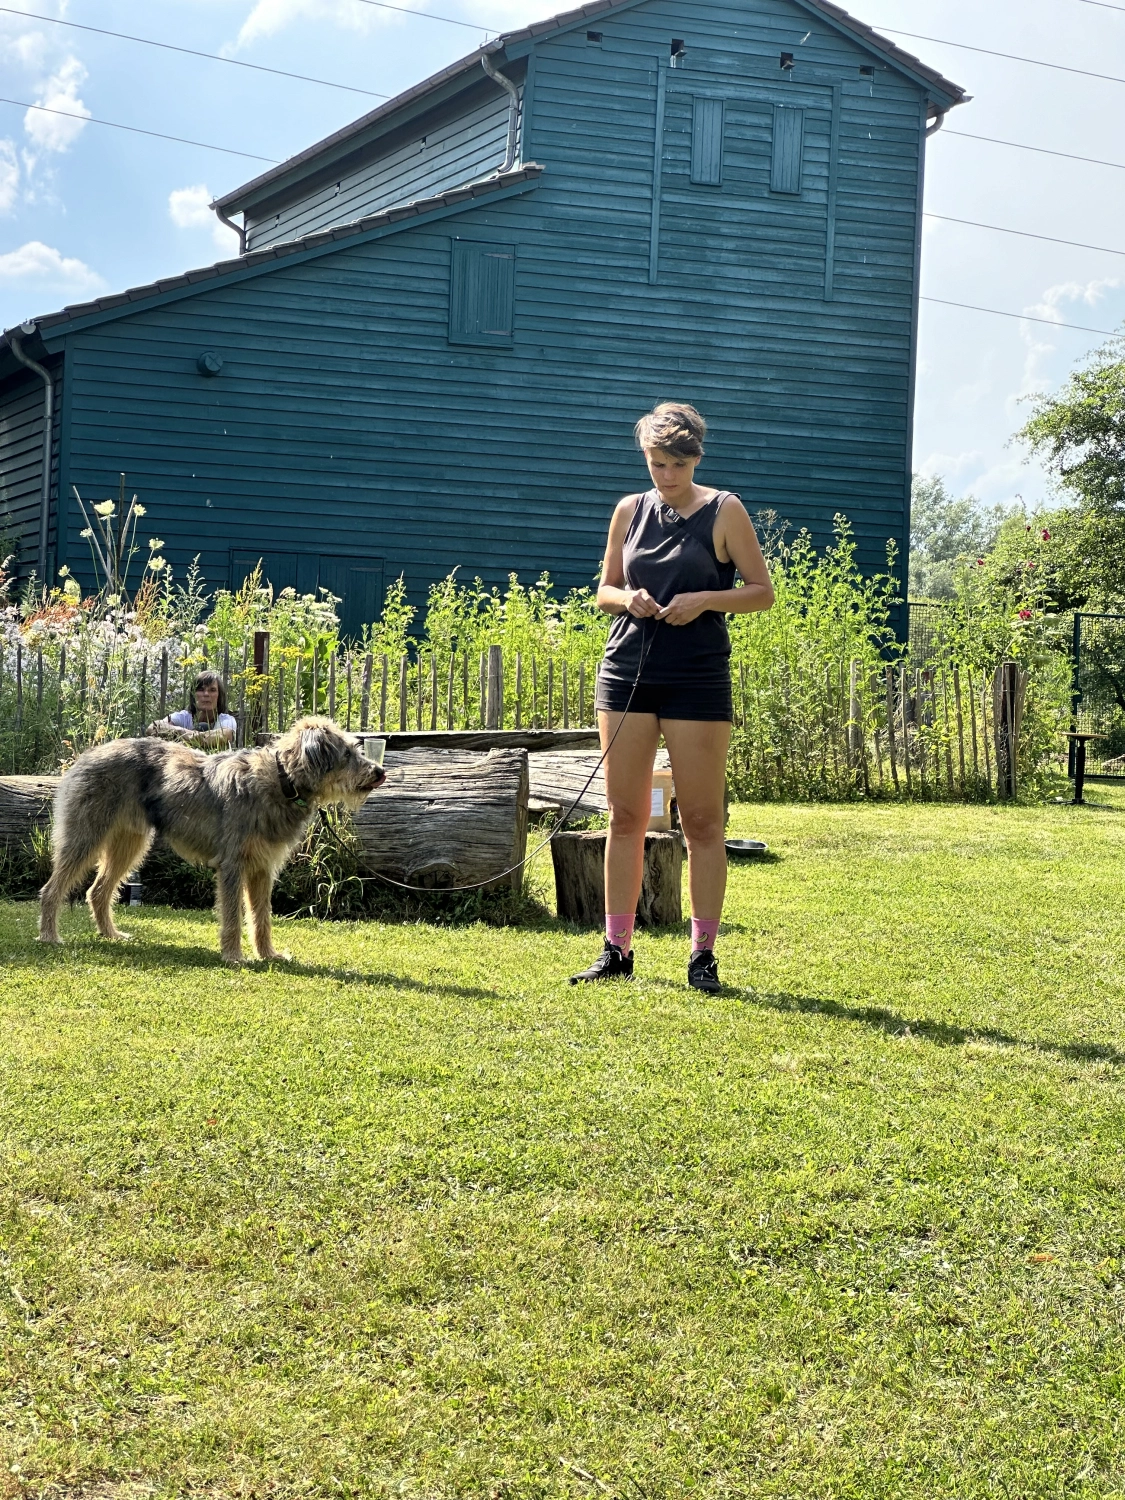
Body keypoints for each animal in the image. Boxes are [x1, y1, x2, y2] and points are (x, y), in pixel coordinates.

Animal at [37, 714, 387, 960]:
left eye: (356, 749)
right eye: (346, 753)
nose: (380, 772)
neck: (282, 779)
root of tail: (86, 755)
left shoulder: (262, 868)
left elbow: (262, 916)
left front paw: (268, 954)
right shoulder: (233, 864)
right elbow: (233, 914)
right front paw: (233, 956)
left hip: (129, 843)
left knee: (97, 891)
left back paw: (111, 935)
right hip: (85, 837)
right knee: (51, 889)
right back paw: (49, 936)